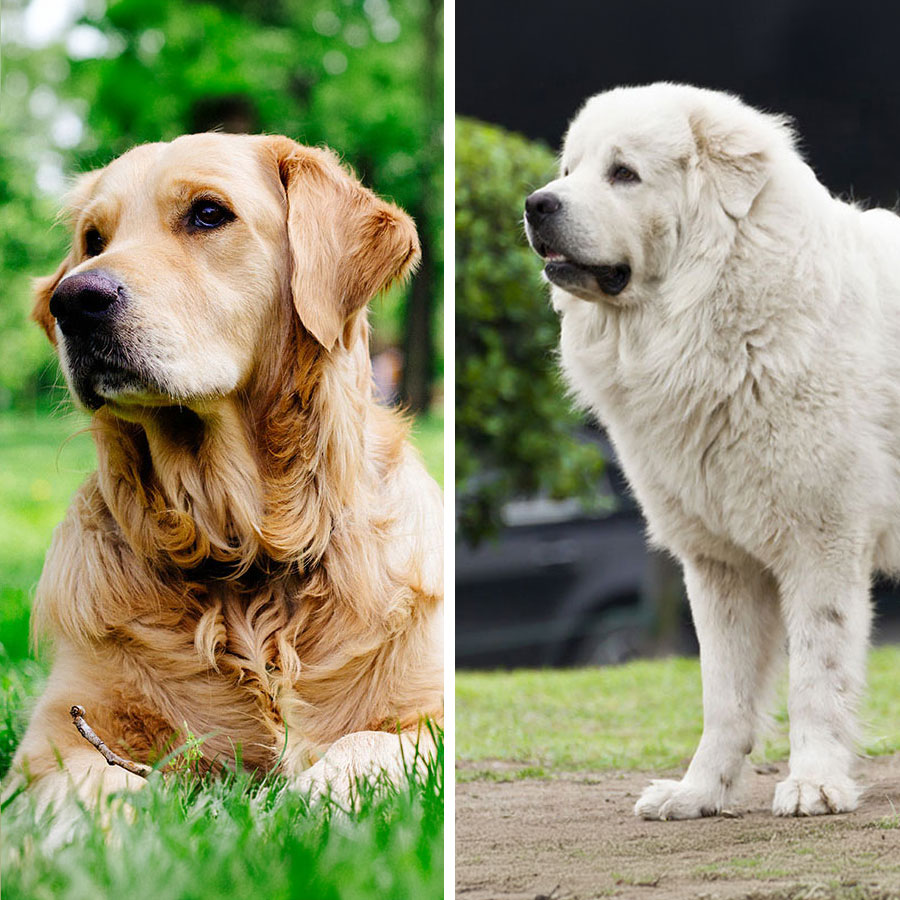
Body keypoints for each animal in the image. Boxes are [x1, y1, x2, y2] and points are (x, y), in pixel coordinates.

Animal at [7, 132, 442, 828]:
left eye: (209, 214)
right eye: (93, 239)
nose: (72, 301)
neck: (244, 548)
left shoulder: (427, 710)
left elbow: (368, 743)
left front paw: (304, 805)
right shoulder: (56, 737)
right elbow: (90, 786)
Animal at [524, 82, 900, 816]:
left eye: (623, 173)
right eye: (569, 169)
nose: (536, 204)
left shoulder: (823, 544)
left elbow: (816, 676)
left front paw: (814, 784)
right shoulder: (719, 562)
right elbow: (724, 694)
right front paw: (699, 793)